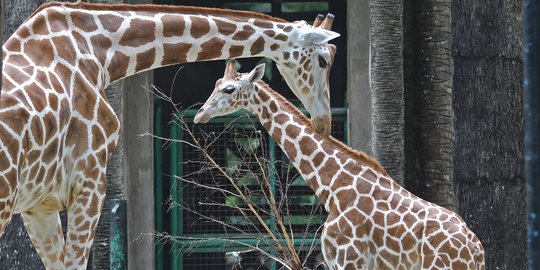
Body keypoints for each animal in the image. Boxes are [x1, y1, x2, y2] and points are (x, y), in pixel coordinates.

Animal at [193, 61, 486, 270]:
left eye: (229, 89)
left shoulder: (349, 259)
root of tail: (476, 251)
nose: (199, 115)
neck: (333, 186)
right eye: (216, 83)